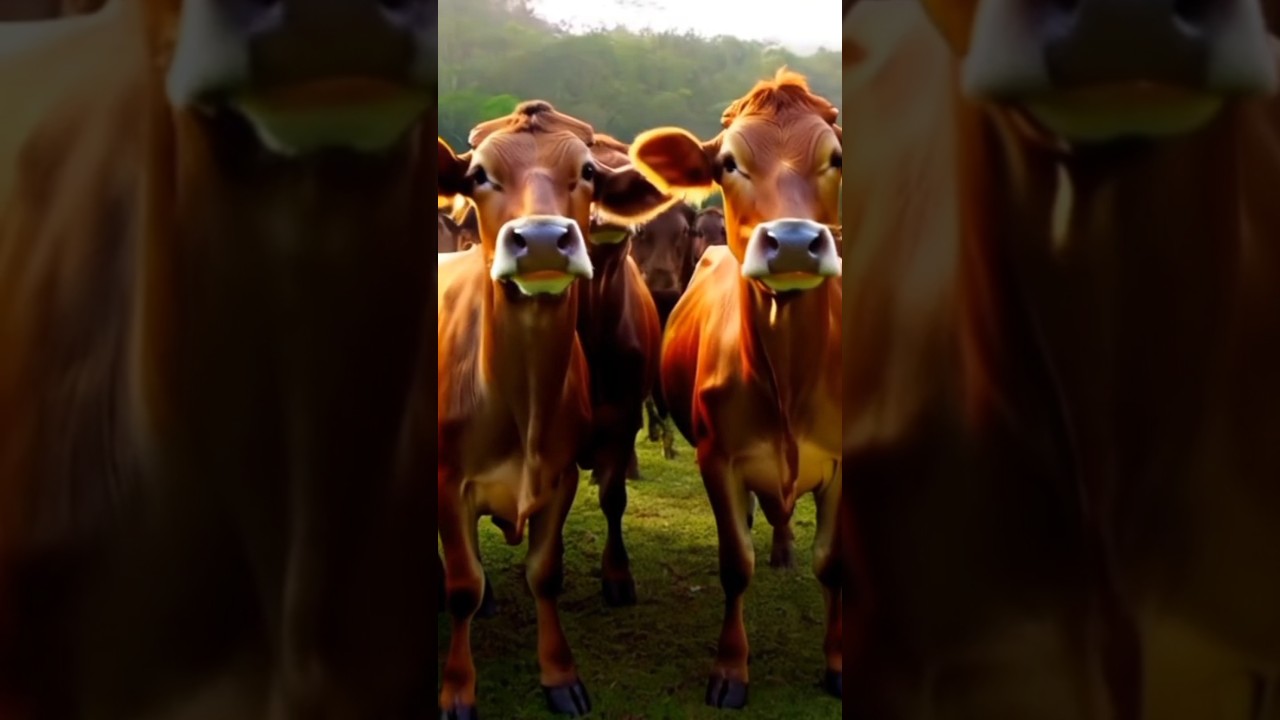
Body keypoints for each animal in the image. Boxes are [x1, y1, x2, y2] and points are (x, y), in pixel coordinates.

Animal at [435, 101, 672, 718]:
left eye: (587, 172)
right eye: (479, 175)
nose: (541, 239)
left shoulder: (564, 473)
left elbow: (547, 572)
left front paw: (560, 675)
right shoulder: (448, 481)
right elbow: (463, 585)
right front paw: (458, 687)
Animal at [629, 68, 843, 709]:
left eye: (836, 158)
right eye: (729, 163)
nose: (794, 242)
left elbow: (832, 564)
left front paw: (836, 664)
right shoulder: (717, 458)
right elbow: (734, 562)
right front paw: (730, 668)